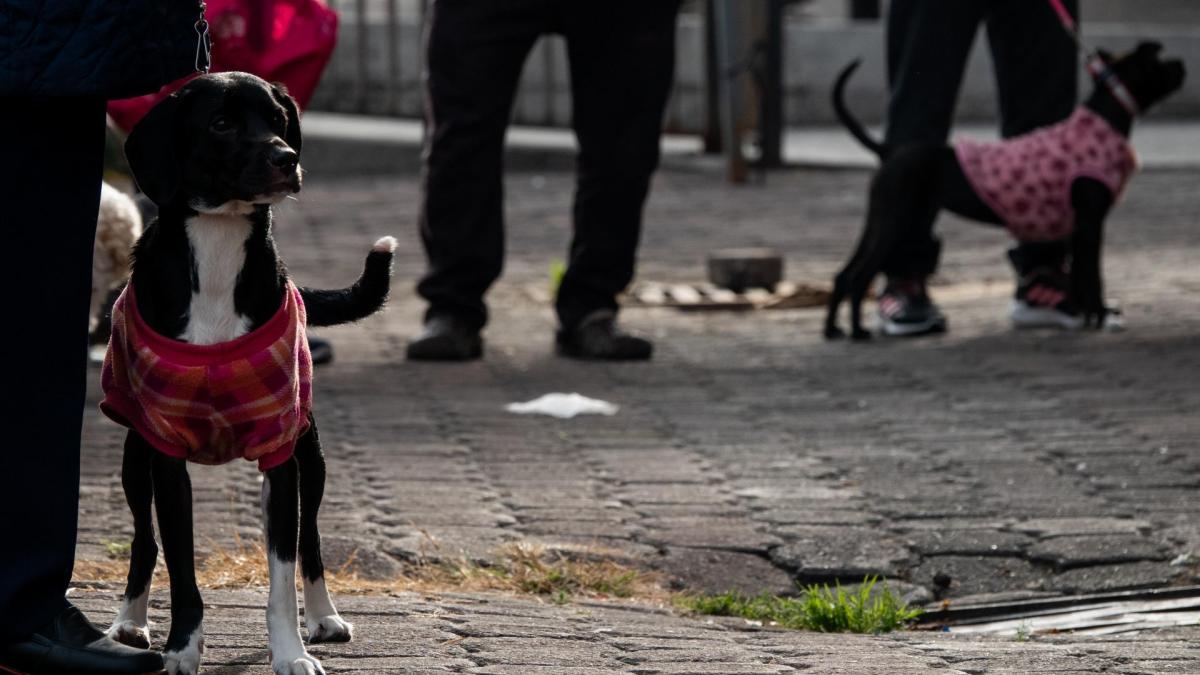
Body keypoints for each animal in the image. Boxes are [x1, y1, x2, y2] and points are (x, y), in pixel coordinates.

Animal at [103, 70, 393, 667]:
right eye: (221, 123)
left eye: (278, 120)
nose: (286, 157)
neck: (218, 247)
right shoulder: (165, 458)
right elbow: (180, 566)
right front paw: (181, 651)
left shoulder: (282, 458)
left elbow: (283, 572)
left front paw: (291, 653)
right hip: (133, 459)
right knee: (144, 538)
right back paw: (130, 621)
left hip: (312, 457)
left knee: (310, 541)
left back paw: (324, 616)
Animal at [825, 42, 1180, 338]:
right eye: (1159, 62)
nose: (1181, 63)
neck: (1105, 118)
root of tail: (890, 150)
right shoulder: (1091, 224)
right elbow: (1093, 275)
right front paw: (1102, 314)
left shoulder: (1079, 229)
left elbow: (1080, 275)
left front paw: (1084, 313)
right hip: (897, 222)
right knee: (860, 276)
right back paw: (858, 332)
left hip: (881, 220)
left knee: (843, 274)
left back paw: (833, 331)